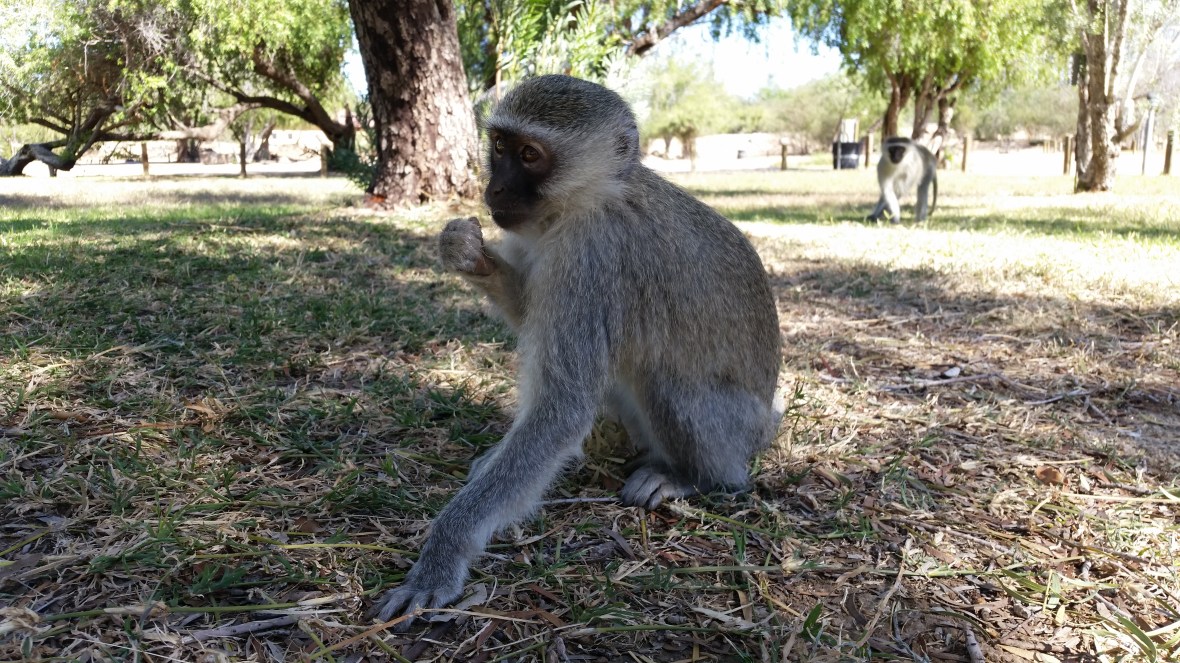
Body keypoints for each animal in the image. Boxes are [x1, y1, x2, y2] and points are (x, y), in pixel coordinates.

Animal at [372, 75, 782, 627]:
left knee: (670, 389)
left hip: (737, 429)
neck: (585, 200)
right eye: (498, 146)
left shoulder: (591, 256)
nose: (494, 189)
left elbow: (561, 410)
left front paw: (442, 555)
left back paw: (692, 478)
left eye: (530, 154)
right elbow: (531, 308)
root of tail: (768, 425)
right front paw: (468, 252)